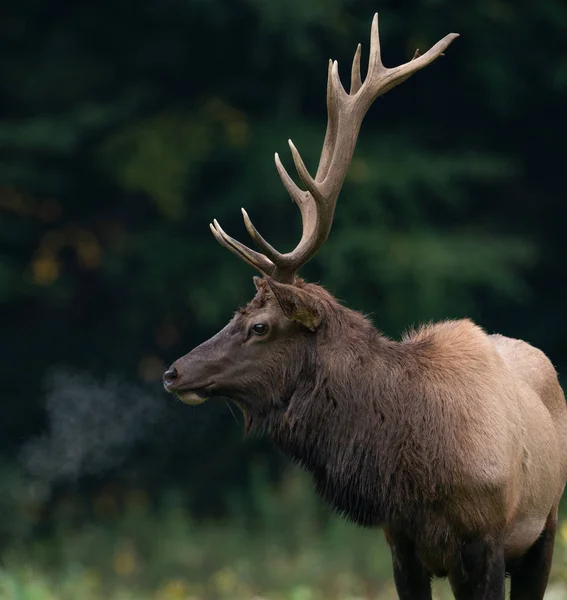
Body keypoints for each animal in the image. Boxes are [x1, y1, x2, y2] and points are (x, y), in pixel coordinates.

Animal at [163, 14, 567, 600]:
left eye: (259, 325)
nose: (173, 372)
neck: (413, 469)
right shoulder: (401, 544)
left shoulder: (488, 539)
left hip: (546, 525)